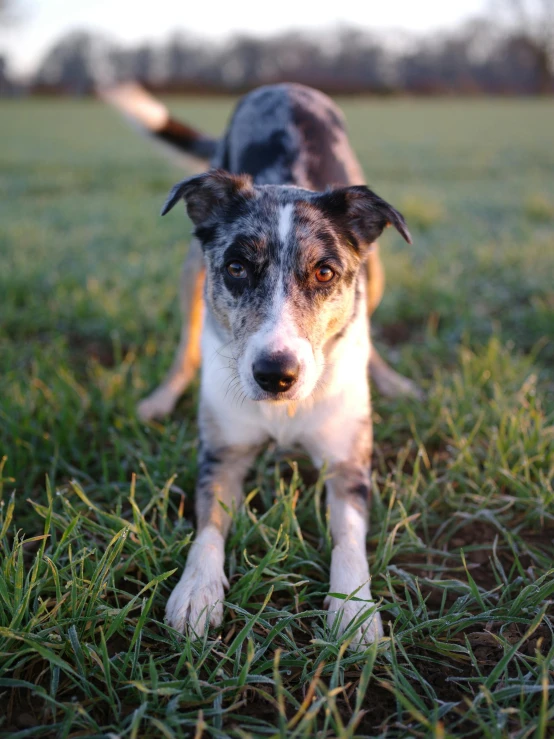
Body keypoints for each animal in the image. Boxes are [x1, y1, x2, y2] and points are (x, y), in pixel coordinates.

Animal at [101, 82, 416, 648]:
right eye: (236, 267)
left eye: (324, 272)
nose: (275, 375)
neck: (284, 412)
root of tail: (283, 86)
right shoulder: (222, 453)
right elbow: (208, 527)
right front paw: (197, 592)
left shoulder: (347, 462)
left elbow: (348, 538)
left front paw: (354, 609)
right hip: (189, 270)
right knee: (185, 345)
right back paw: (162, 397)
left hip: (377, 270)